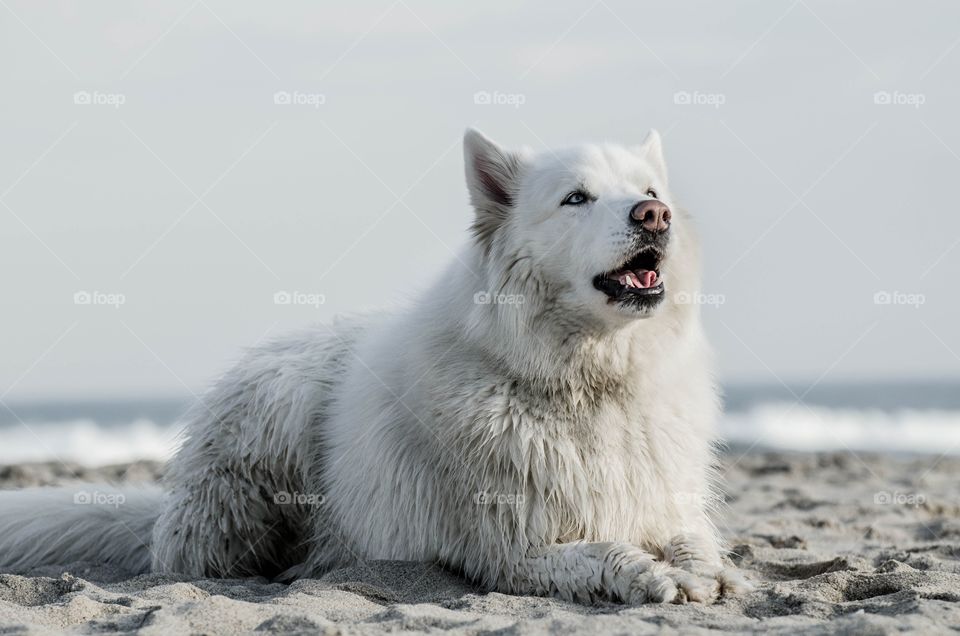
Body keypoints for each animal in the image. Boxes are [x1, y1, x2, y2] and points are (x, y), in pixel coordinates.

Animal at [0, 128, 748, 600]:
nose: (654, 215)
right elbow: (605, 551)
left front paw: (710, 571)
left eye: (649, 189)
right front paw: (650, 576)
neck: (587, 383)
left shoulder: (663, 499)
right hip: (280, 407)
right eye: (576, 198)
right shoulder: (514, 550)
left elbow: (693, 540)